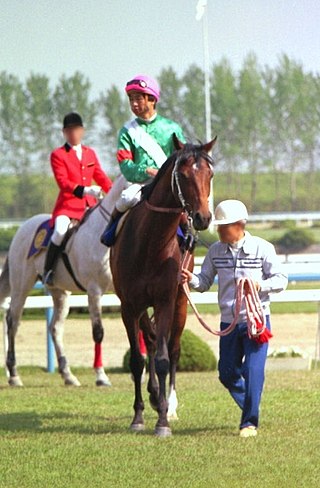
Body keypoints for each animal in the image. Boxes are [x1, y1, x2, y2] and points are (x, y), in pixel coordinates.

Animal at [0, 174, 127, 386]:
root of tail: (23, 226)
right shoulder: (94, 291)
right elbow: (98, 332)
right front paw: (101, 376)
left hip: (59, 292)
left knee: (55, 328)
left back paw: (68, 375)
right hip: (21, 286)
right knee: (13, 322)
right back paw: (14, 375)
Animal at [111, 135, 216, 436]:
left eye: (210, 174)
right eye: (183, 175)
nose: (203, 218)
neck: (150, 243)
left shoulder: (166, 300)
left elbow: (163, 359)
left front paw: (163, 422)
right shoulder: (129, 306)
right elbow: (137, 360)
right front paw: (138, 417)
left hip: (181, 304)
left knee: (174, 348)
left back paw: (169, 403)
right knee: (150, 338)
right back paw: (156, 397)